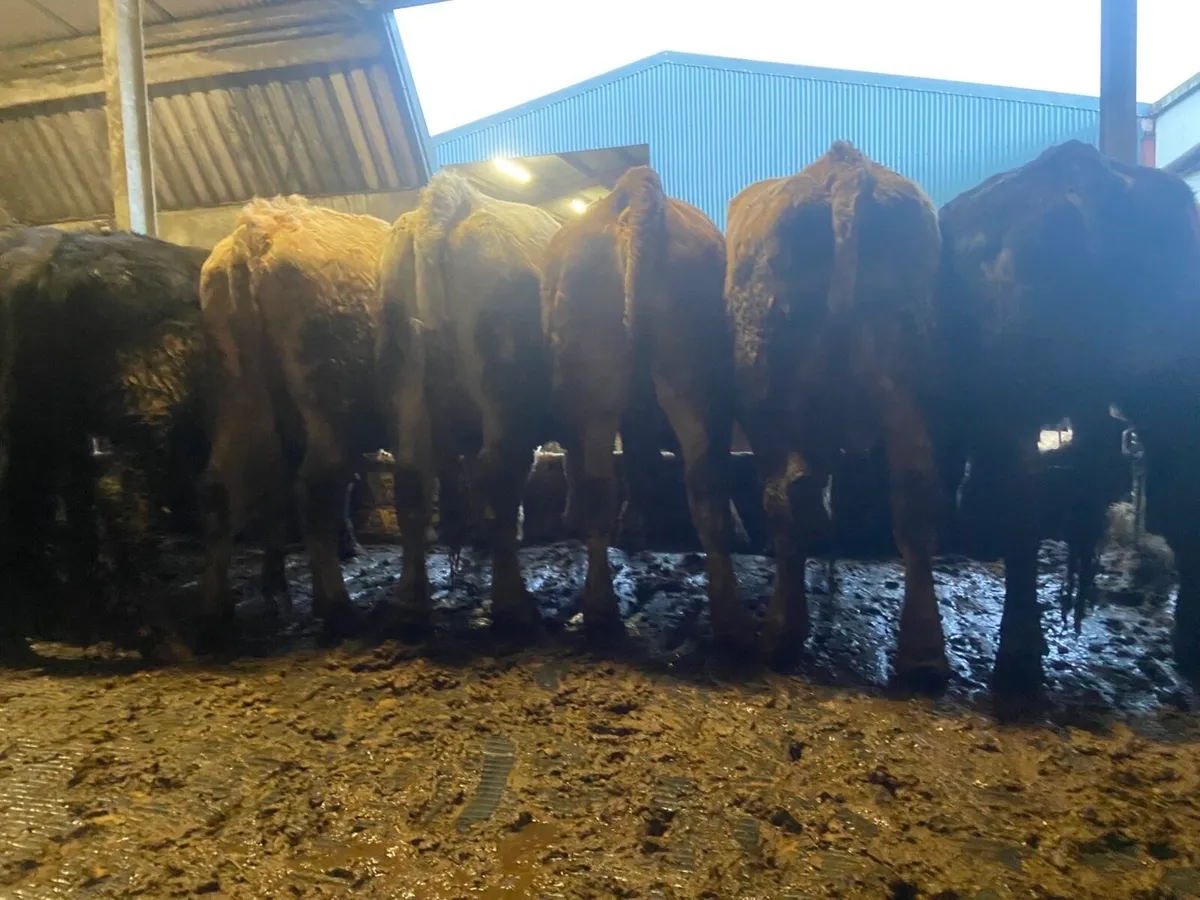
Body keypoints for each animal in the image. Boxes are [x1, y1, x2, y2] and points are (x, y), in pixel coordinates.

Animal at [198, 197, 391, 648]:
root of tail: (261, 228)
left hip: (241, 397)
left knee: (227, 490)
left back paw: (221, 611)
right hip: (331, 403)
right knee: (316, 489)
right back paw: (337, 608)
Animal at [377, 172, 559, 638]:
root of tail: (455, 198)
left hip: (404, 379)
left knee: (413, 481)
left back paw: (410, 605)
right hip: (505, 389)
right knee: (501, 477)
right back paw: (514, 606)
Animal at [539, 166, 752, 648]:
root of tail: (634, 186)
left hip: (608, 386)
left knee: (606, 484)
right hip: (691, 381)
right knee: (703, 481)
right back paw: (727, 618)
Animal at [726, 141, 947, 685]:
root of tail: (844, 166)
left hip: (766, 395)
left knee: (783, 496)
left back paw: (781, 633)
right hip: (910, 380)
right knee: (915, 492)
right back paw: (922, 658)